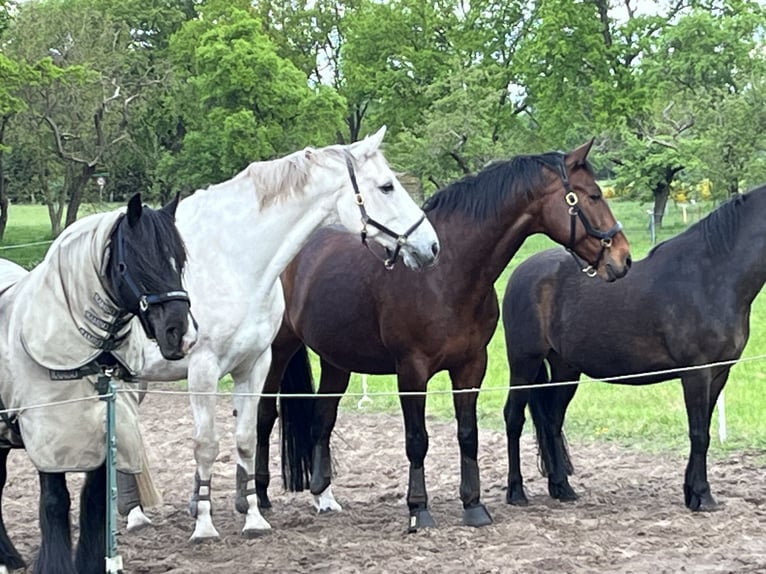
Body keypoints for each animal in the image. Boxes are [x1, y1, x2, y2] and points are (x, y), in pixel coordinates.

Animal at [128, 127, 440, 544]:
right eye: (387, 186)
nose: (431, 246)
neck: (233, 258)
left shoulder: (255, 364)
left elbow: (245, 438)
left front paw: (253, 518)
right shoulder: (203, 371)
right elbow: (206, 445)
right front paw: (205, 526)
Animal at [258, 141, 636, 532]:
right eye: (593, 195)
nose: (623, 258)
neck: (446, 275)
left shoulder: (471, 366)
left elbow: (468, 434)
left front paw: (474, 505)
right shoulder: (412, 372)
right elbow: (417, 440)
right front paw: (418, 509)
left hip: (337, 360)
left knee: (323, 417)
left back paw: (323, 495)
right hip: (277, 351)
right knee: (264, 416)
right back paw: (260, 497)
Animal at [500, 187, 766, 510]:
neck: (712, 276)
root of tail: (521, 272)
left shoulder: (718, 374)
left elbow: (703, 432)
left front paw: (692, 492)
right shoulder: (696, 373)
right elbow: (698, 433)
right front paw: (702, 495)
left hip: (565, 369)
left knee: (551, 420)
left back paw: (562, 487)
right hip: (523, 364)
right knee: (514, 418)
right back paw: (516, 492)